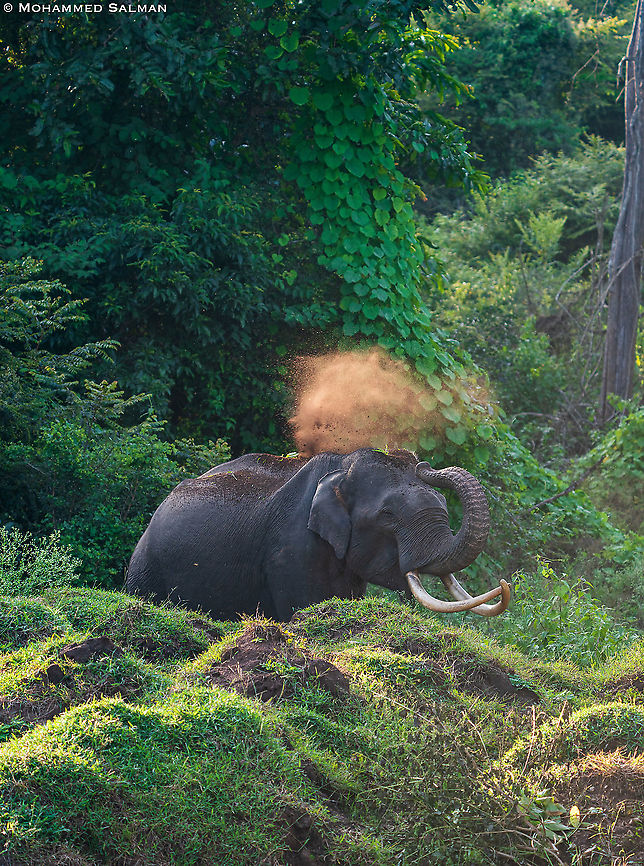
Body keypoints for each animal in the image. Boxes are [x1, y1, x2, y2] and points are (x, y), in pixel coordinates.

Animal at [126, 448, 510, 621]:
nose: (424, 465)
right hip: (145, 567)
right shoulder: (289, 549)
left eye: (443, 503)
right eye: (387, 516)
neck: (341, 468)